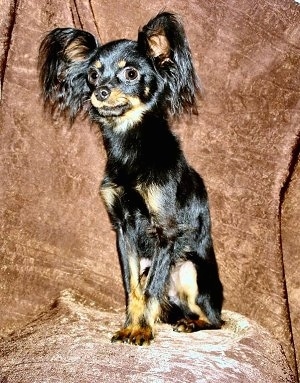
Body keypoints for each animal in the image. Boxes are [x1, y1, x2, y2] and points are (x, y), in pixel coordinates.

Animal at [38, 12, 223, 348]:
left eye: (131, 73)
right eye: (93, 75)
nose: (100, 92)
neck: (130, 147)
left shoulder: (165, 230)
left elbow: (150, 289)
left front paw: (142, 331)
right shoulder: (123, 229)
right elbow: (133, 287)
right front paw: (130, 326)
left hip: (190, 270)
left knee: (215, 319)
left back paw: (191, 323)